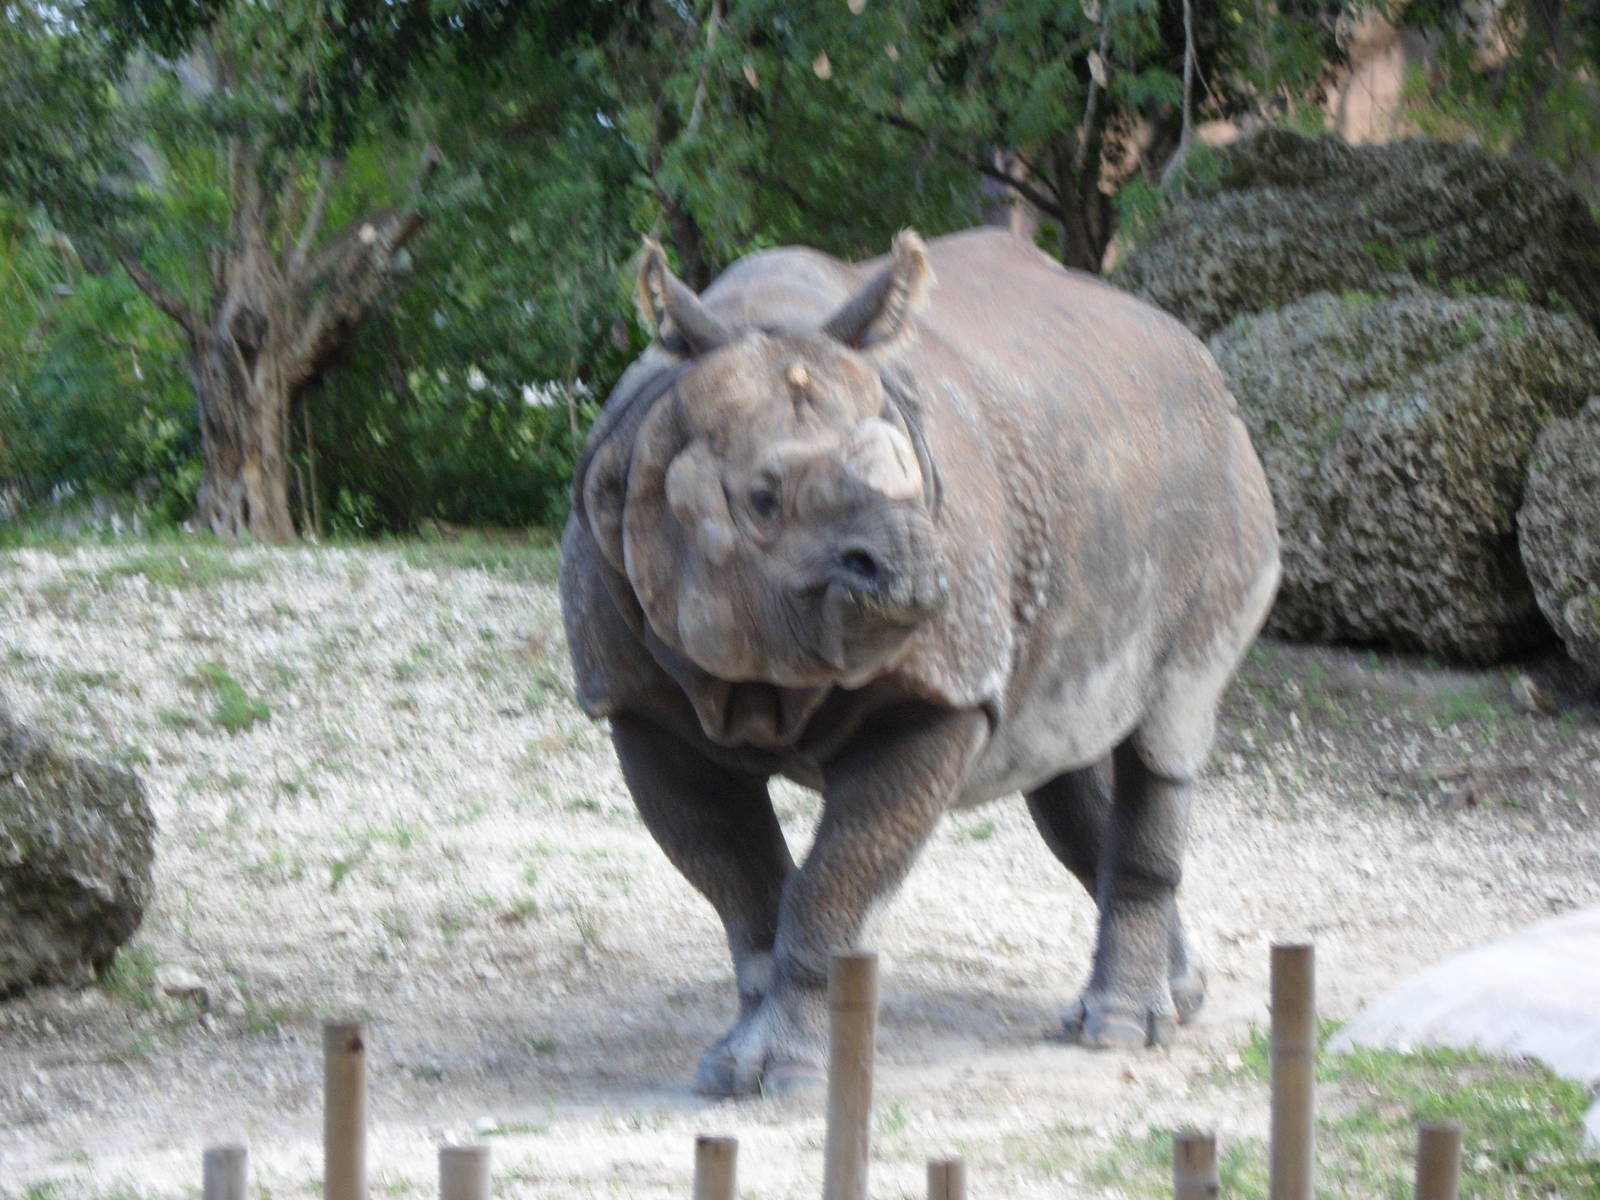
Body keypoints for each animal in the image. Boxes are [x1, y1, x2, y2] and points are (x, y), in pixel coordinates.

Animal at [559, 227, 1279, 1097]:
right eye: (761, 499)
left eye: (911, 477)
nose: (915, 571)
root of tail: (1204, 363)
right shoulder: (637, 704)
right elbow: (744, 887)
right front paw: (734, 1068)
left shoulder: (938, 694)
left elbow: (833, 884)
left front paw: (791, 1075)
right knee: (1067, 769)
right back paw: (1177, 999)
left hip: (1224, 485)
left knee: (1167, 731)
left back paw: (1117, 1031)